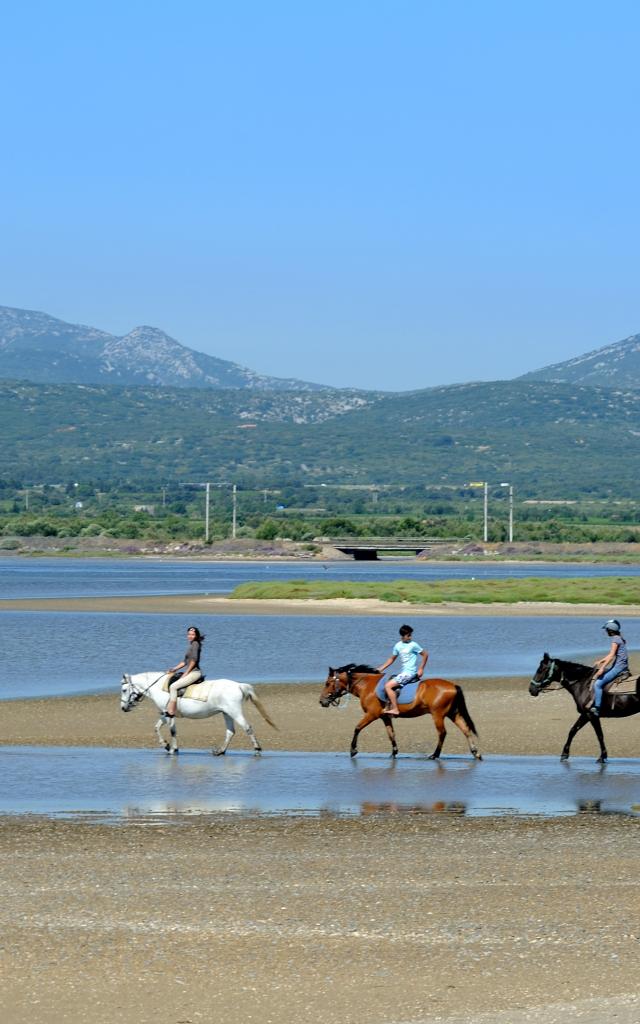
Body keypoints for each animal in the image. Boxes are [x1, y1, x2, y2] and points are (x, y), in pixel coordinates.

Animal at [119, 667, 276, 757]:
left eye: (124, 690)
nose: (123, 708)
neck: (159, 687)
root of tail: (238, 685)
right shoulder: (165, 714)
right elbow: (156, 727)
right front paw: (166, 745)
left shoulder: (168, 714)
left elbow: (172, 731)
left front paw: (173, 749)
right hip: (226, 713)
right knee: (230, 732)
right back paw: (220, 751)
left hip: (234, 711)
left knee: (247, 727)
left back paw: (257, 749)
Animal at [317, 663, 479, 761]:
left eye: (327, 683)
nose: (321, 701)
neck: (367, 686)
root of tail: (453, 685)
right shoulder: (385, 717)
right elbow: (391, 734)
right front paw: (394, 752)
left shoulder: (372, 715)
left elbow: (357, 728)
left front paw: (353, 750)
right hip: (453, 714)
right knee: (465, 729)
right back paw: (475, 752)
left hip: (438, 715)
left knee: (442, 733)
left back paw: (435, 755)